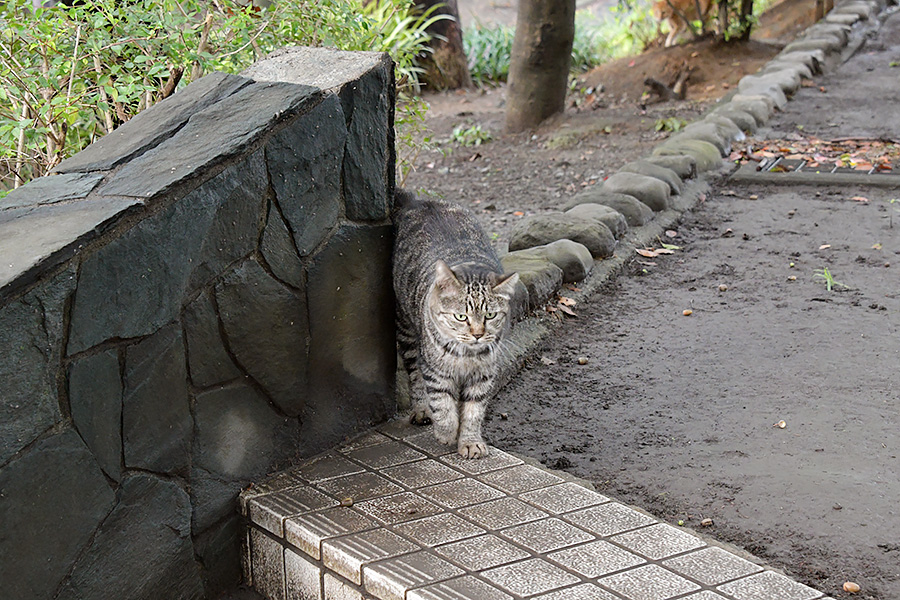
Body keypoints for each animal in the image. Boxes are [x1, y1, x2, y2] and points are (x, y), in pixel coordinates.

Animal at [390, 190, 516, 458]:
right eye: (461, 317)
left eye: (490, 316)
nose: (478, 334)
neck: (466, 355)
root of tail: (418, 200)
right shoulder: (436, 370)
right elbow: (443, 403)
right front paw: (446, 432)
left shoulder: (483, 375)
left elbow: (473, 411)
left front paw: (470, 441)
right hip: (406, 330)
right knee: (415, 376)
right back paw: (421, 410)